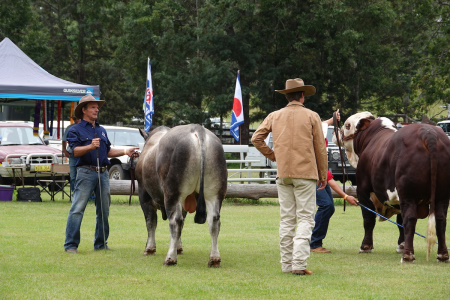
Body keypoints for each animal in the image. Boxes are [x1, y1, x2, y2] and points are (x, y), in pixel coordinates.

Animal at [134, 124, 227, 268]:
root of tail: (197, 129)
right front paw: (178, 247)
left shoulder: (144, 195)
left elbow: (151, 221)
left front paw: (149, 248)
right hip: (214, 193)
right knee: (214, 221)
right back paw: (214, 258)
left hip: (173, 193)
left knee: (175, 221)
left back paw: (170, 258)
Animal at [338, 113, 450, 264]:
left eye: (347, 125)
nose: (338, 133)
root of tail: (428, 132)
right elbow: (400, 222)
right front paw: (401, 245)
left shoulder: (363, 190)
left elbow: (368, 219)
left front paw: (365, 246)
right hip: (442, 194)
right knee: (440, 219)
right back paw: (442, 255)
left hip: (408, 193)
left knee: (410, 218)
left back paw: (408, 255)